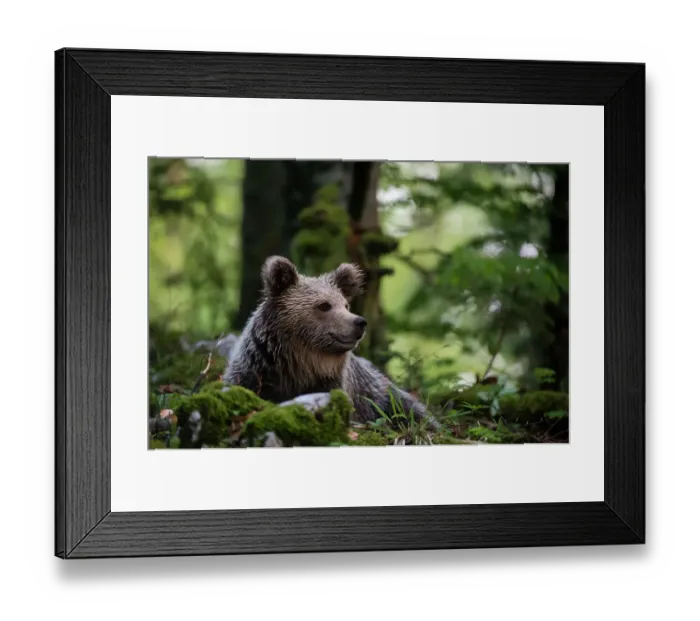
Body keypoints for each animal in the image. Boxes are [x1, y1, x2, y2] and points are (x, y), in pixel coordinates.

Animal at [223, 255, 438, 430]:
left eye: (346, 305)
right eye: (324, 305)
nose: (359, 322)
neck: (299, 365)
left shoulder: (333, 386)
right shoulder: (253, 372)